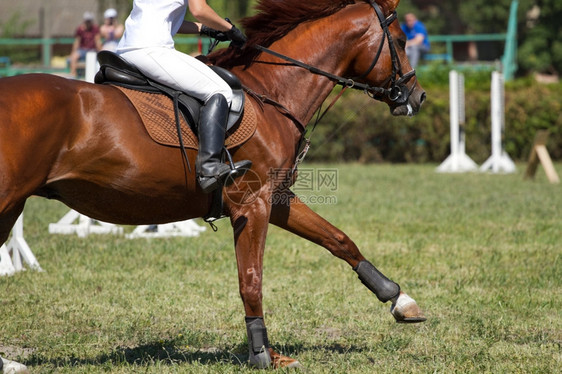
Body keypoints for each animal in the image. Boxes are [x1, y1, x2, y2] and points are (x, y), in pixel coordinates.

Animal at [0, 0, 424, 368]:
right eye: (401, 41)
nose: (417, 97)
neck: (273, 91)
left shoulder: (274, 198)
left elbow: (338, 239)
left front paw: (399, 299)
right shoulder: (252, 203)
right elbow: (251, 280)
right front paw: (262, 354)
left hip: (11, 205)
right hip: (8, 199)